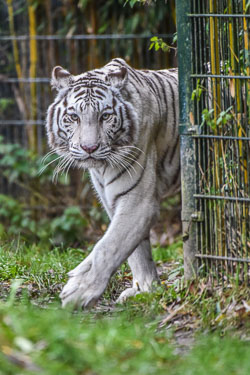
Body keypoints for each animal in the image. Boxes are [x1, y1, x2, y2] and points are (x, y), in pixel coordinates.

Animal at [46, 57, 180, 306]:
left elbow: (109, 246)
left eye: (105, 117)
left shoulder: (139, 202)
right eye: (74, 117)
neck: (102, 167)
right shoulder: (114, 200)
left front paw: (79, 292)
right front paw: (146, 290)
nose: (89, 148)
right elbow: (137, 251)